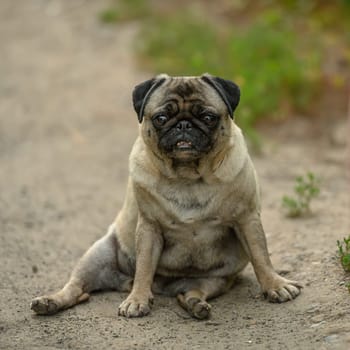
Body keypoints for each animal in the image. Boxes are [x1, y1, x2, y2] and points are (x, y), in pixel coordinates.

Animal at [31, 74, 302, 320]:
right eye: (161, 118)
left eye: (208, 117)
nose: (183, 125)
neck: (188, 177)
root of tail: (164, 287)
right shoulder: (149, 228)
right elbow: (144, 268)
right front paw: (137, 300)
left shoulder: (247, 219)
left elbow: (260, 255)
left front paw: (275, 285)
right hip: (97, 256)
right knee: (76, 288)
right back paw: (50, 302)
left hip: (213, 281)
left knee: (190, 293)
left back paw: (196, 306)